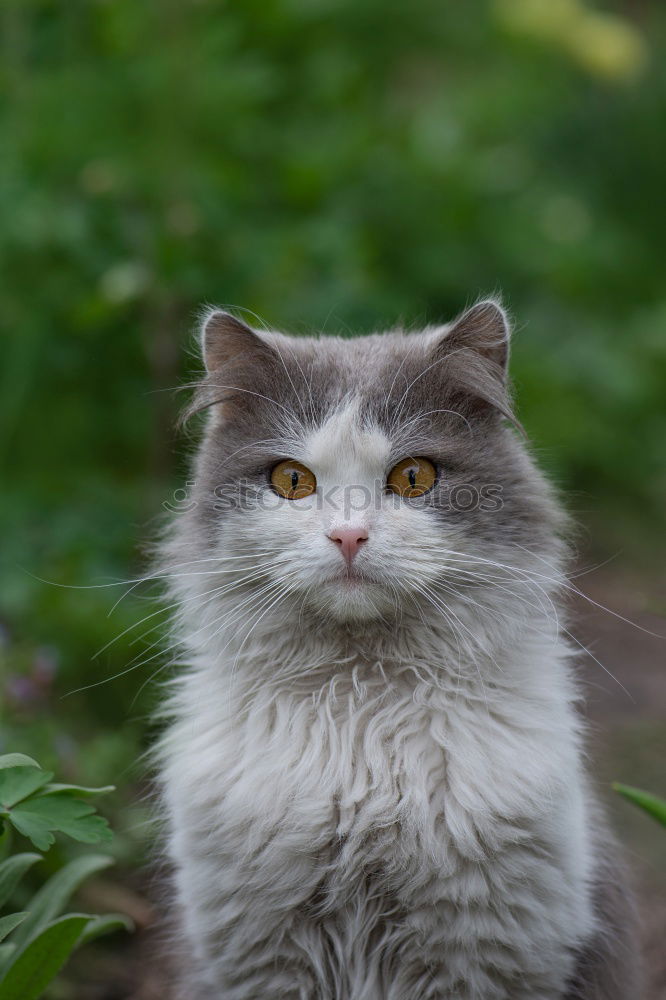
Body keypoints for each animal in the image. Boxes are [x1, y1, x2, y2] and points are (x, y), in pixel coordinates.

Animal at [156, 302, 640, 1000]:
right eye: (292, 480)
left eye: (414, 478)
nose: (349, 536)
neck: (362, 714)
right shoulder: (262, 956)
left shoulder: (484, 952)